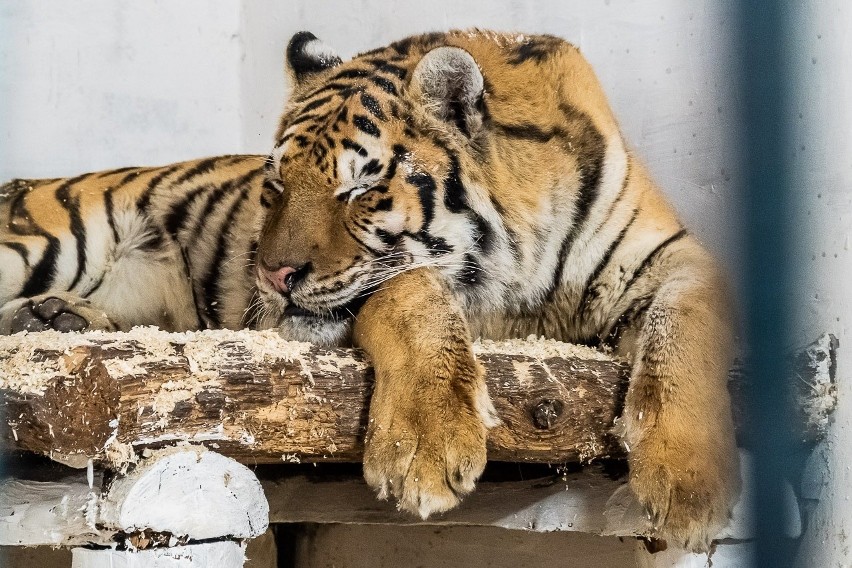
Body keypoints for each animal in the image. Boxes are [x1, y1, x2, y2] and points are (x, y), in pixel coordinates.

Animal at [0, 30, 740, 552]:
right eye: (276, 186)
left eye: (357, 190)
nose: (272, 274)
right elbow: (410, 295)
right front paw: (425, 446)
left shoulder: (675, 260)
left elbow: (687, 333)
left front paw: (691, 489)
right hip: (54, 237)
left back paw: (58, 319)